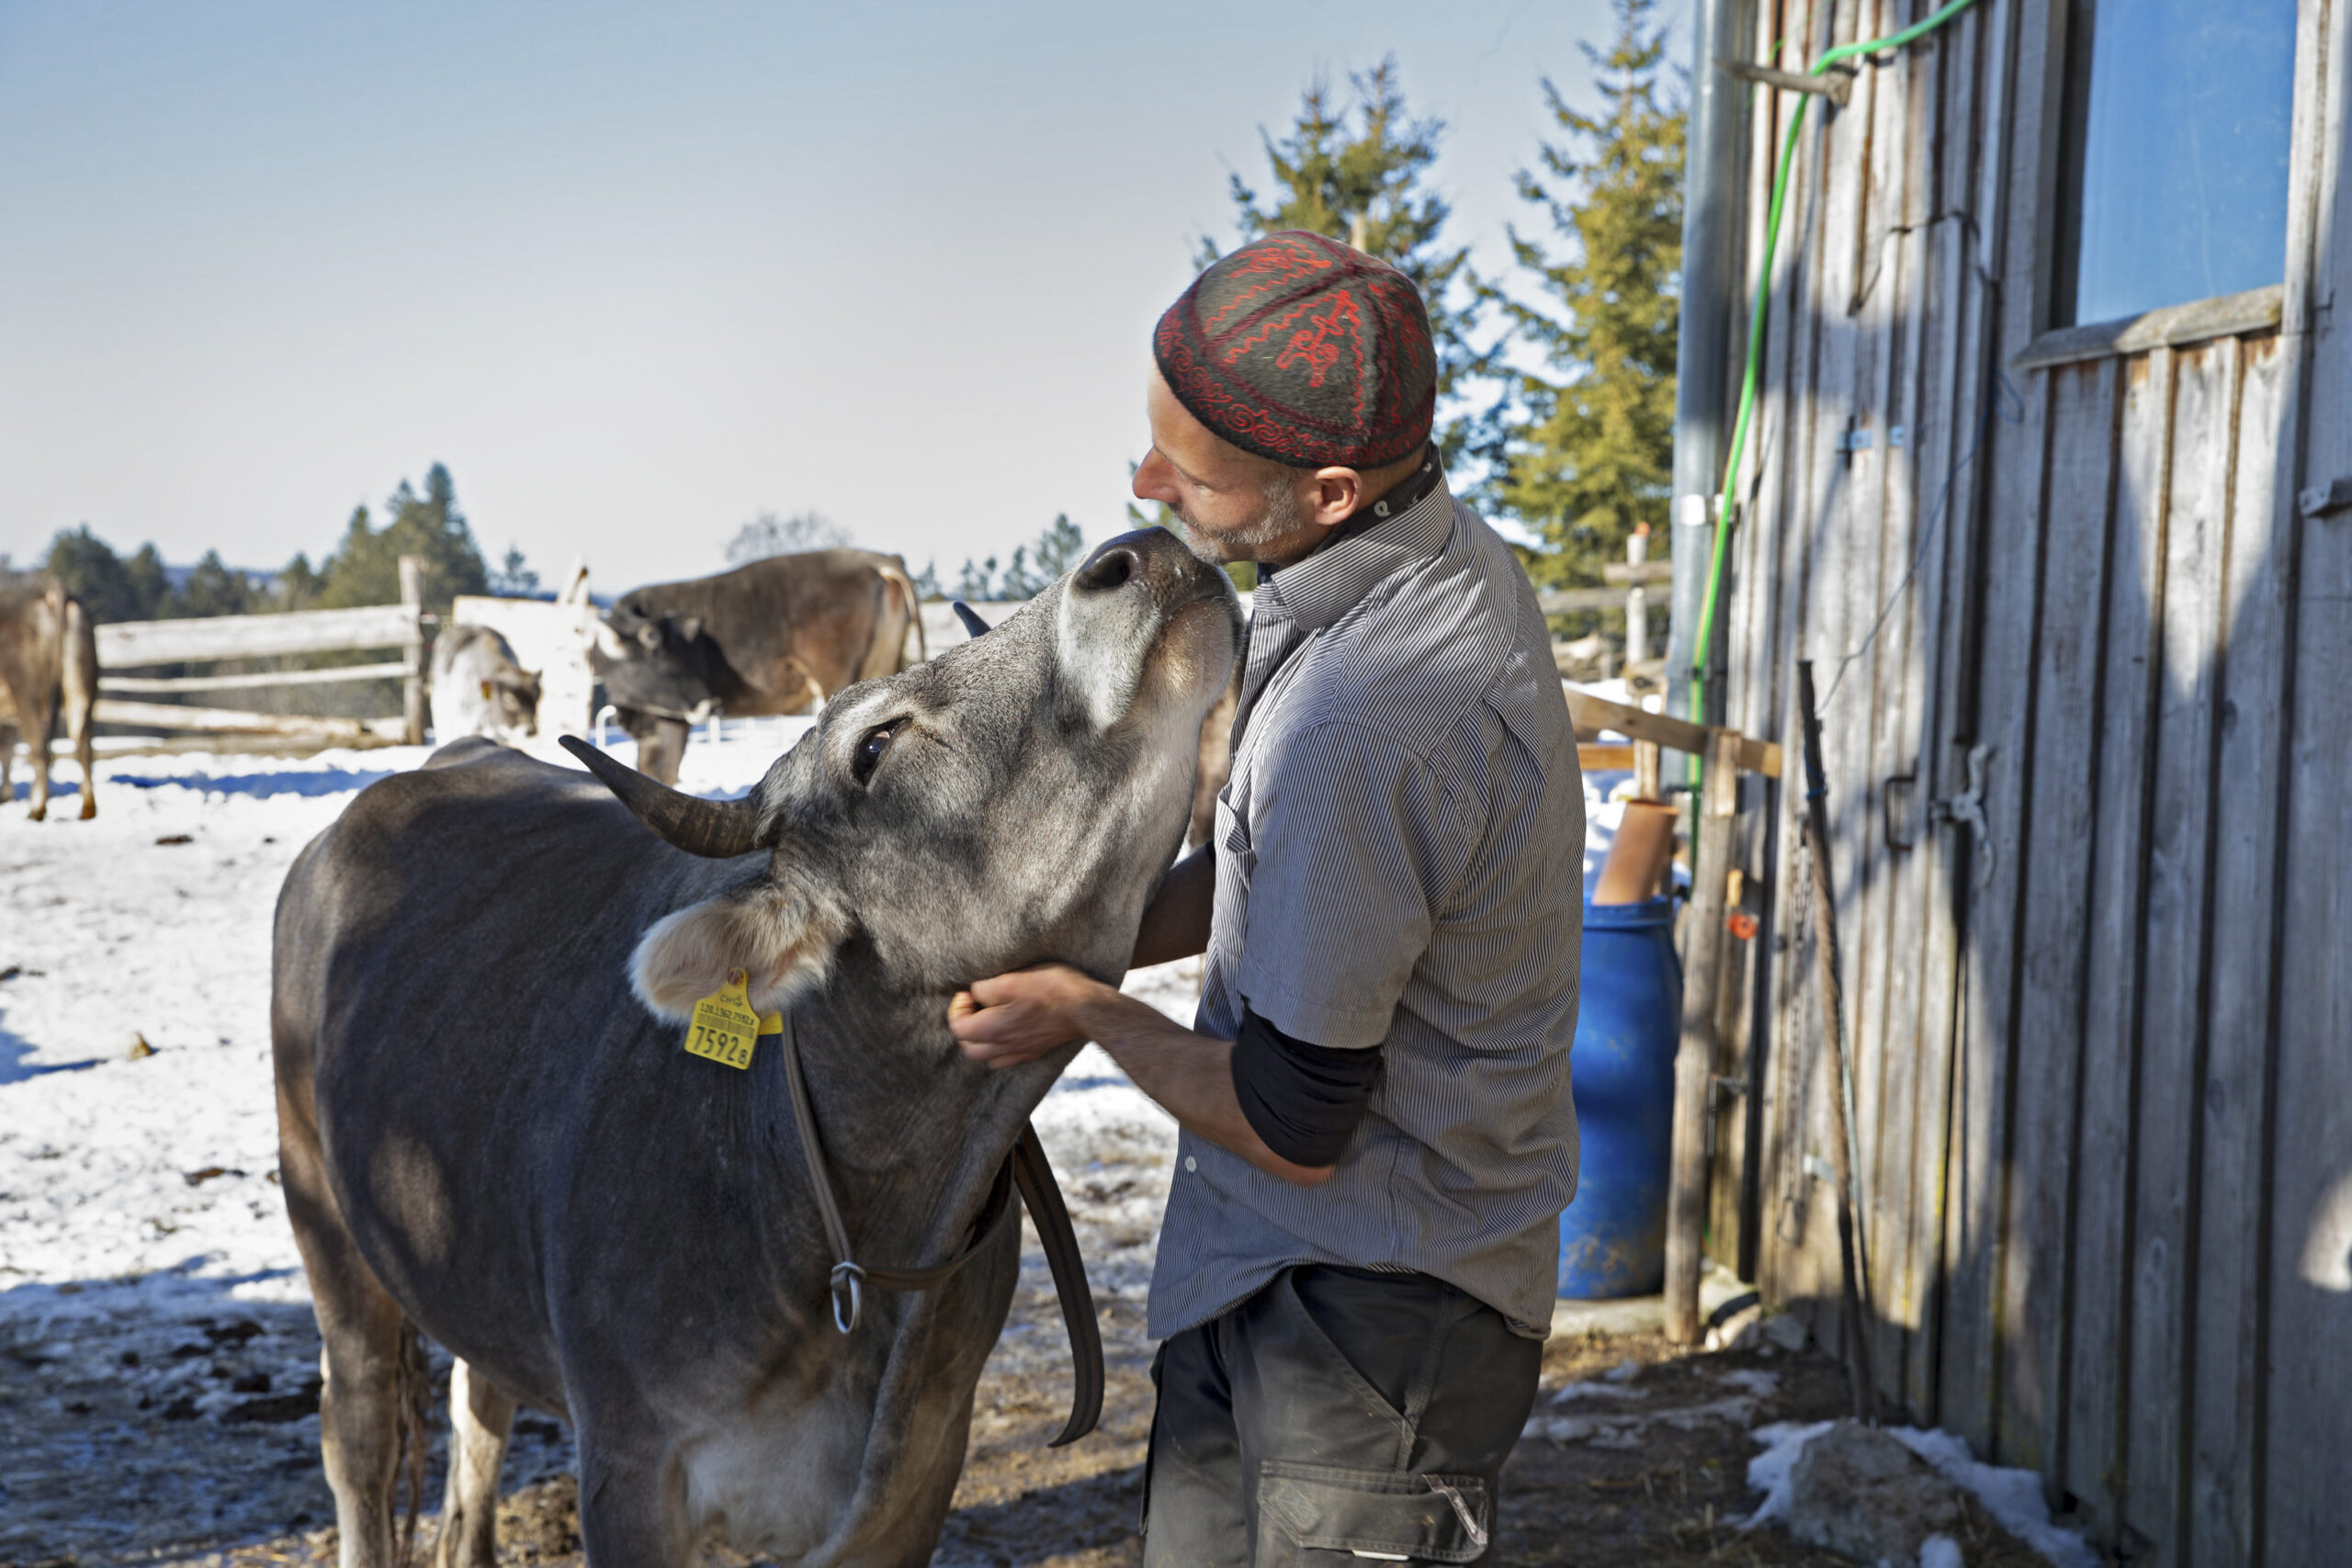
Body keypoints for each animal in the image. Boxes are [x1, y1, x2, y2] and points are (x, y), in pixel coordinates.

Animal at [0, 575, 99, 821]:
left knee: (40, 750)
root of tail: (50, 590)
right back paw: (87, 809)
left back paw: (36, 810)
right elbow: (6, 750)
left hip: (27, 693)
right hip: (81, 685)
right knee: (83, 746)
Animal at [596, 549, 926, 785]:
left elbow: (663, 770)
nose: (709, 704)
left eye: (677, 652)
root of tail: (874, 558)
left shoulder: (671, 719)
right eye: (660, 652)